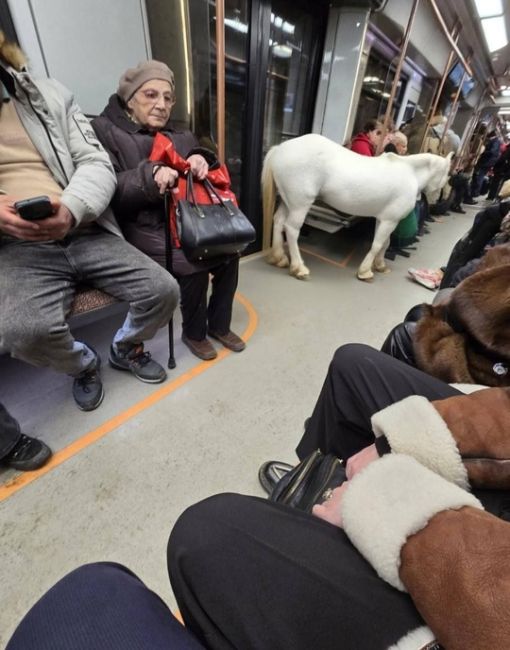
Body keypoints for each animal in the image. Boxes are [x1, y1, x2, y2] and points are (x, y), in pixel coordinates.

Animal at [262, 133, 450, 280]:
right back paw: (298, 267)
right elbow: (377, 244)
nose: (435, 200)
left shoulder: (384, 219)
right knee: (291, 229)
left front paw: (380, 265)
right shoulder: (390, 221)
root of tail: (280, 148)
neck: (410, 173)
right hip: (300, 205)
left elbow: (385, 243)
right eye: (447, 174)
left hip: (288, 201)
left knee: (278, 221)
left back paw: (279, 258)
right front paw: (365, 271)